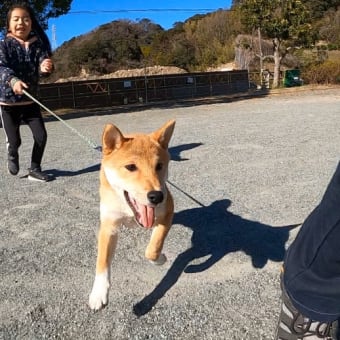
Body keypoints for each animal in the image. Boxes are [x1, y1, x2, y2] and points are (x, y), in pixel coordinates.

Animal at [88, 120, 175, 310]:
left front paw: (161, 258)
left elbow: (152, 249)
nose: (157, 196)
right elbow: (102, 261)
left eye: (159, 166)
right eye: (130, 167)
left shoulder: (168, 212)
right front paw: (99, 293)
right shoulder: (108, 226)